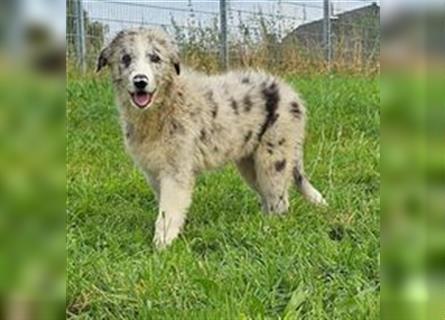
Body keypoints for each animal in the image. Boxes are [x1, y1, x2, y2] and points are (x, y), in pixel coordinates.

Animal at [97, 27, 326, 249]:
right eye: (126, 58)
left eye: (155, 58)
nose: (140, 81)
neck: (163, 106)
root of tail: (292, 94)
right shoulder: (153, 172)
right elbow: (166, 208)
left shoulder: (177, 170)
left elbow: (168, 210)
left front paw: (162, 245)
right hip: (250, 164)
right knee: (268, 199)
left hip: (273, 158)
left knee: (280, 202)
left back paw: (269, 231)